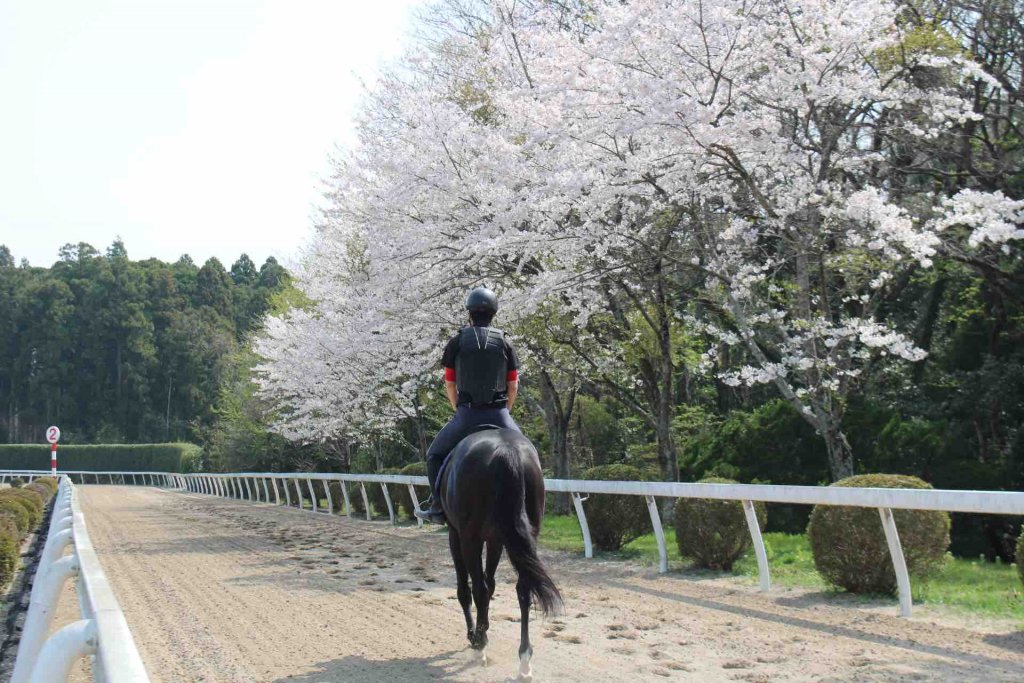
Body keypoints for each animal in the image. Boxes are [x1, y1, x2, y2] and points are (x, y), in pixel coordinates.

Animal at [436, 428, 565, 679]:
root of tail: (507, 450)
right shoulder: (496, 539)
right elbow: (491, 584)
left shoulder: (456, 534)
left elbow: (467, 589)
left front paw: (475, 635)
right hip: (525, 536)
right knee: (523, 589)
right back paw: (524, 660)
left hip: (470, 539)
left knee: (477, 588)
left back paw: (480, 643)